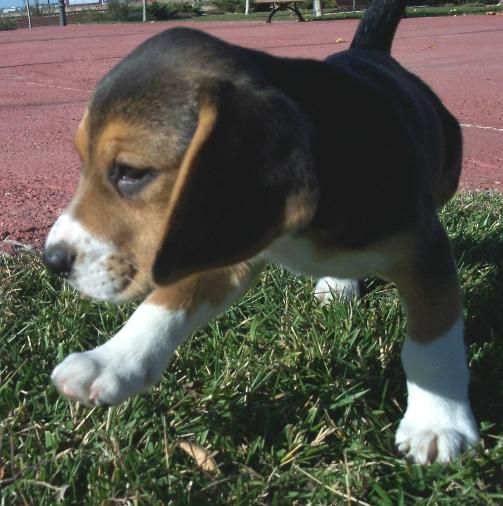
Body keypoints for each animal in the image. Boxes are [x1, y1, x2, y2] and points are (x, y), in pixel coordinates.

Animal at [43, 0, 480, 462]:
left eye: (131, 172)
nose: (52, 260)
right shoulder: (210, 244)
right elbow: (162, 305)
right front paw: (110, 361)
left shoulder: (424, 250)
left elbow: (431, 344)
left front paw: (438, 423)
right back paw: (338, 282)